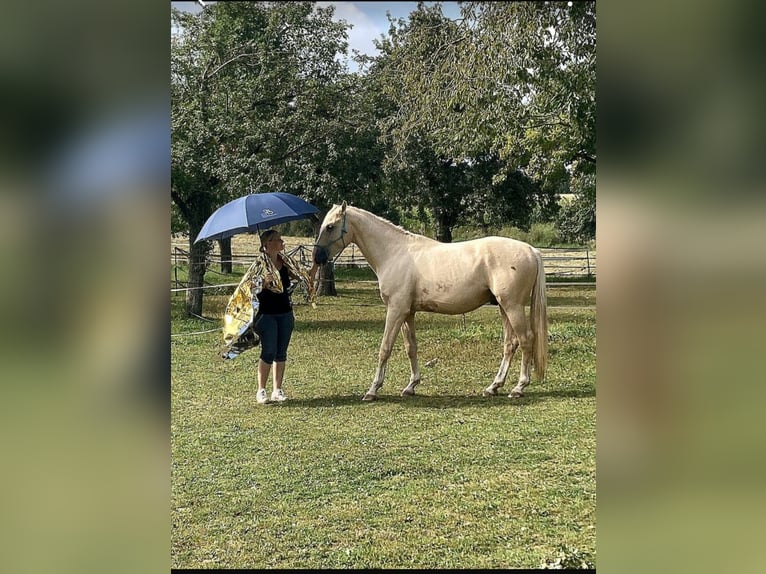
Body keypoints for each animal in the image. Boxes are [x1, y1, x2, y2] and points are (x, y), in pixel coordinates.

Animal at [308, 205, 548, 402]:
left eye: (330, 226)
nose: (317, 257)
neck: (394, 253)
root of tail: (531, 250)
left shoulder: (396, 310)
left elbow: (385, 348)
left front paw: (373, 390)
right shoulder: (408, 313)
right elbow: (411, 348)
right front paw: (411, 386)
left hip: (513, 307)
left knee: (526, 340)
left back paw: (519, 387)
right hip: (503, 307)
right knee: (510, 344)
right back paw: (493, 387)